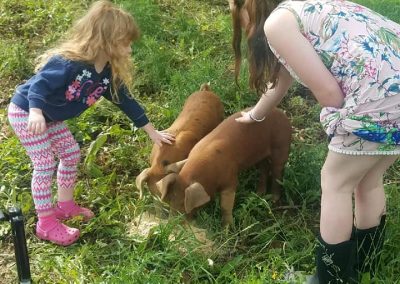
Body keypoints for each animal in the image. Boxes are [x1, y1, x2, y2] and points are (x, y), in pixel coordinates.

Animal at [155, 107, 290, 226]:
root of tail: (282, 113)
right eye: (171, 200)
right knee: (264, 168)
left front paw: (227, 228)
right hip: (260, 155)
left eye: (183, 204)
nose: (172, 224)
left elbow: (226, 206)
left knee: (277, 173)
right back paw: (259, 193)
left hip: (281, 146)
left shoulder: (230, 179)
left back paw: (274, 198)